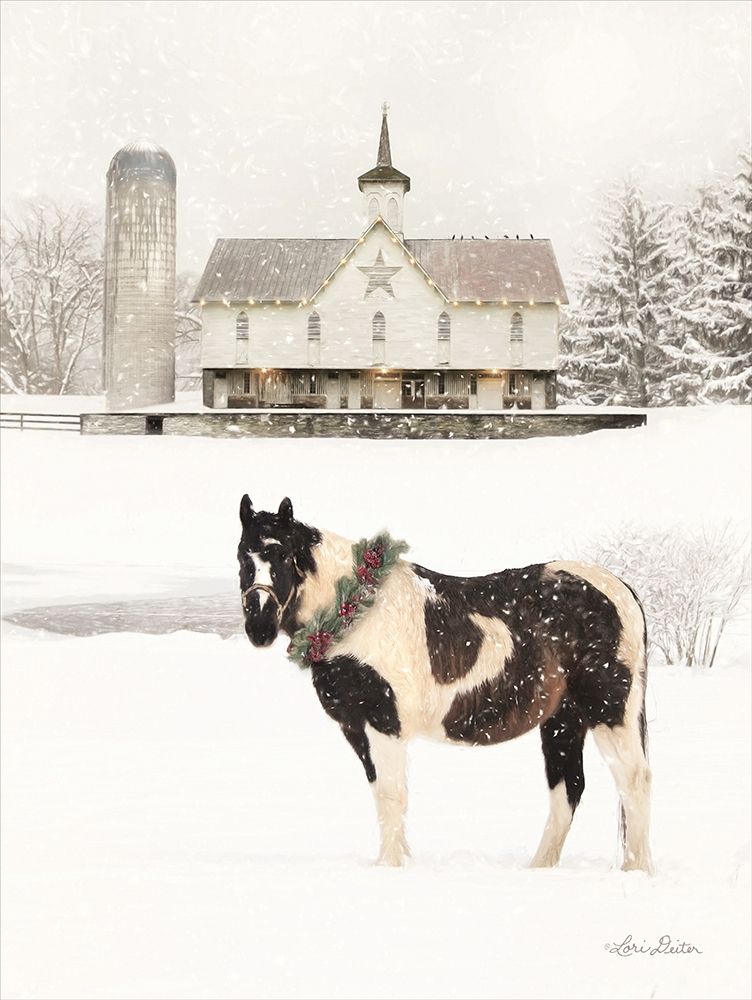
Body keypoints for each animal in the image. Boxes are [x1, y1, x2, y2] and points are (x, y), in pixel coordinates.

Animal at [237, 494, 653, 873]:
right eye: (243, 557)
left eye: (282, 556)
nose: (259, 626)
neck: (357, 610)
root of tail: (620, 589)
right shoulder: (356, 728)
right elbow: (382, 794)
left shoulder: (384, 722)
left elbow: (391, 794)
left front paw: (389, 867)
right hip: (563, 719)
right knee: (567, 790)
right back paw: (540, 869)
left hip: (609, 711)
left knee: (634, 781)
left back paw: (636, 870)